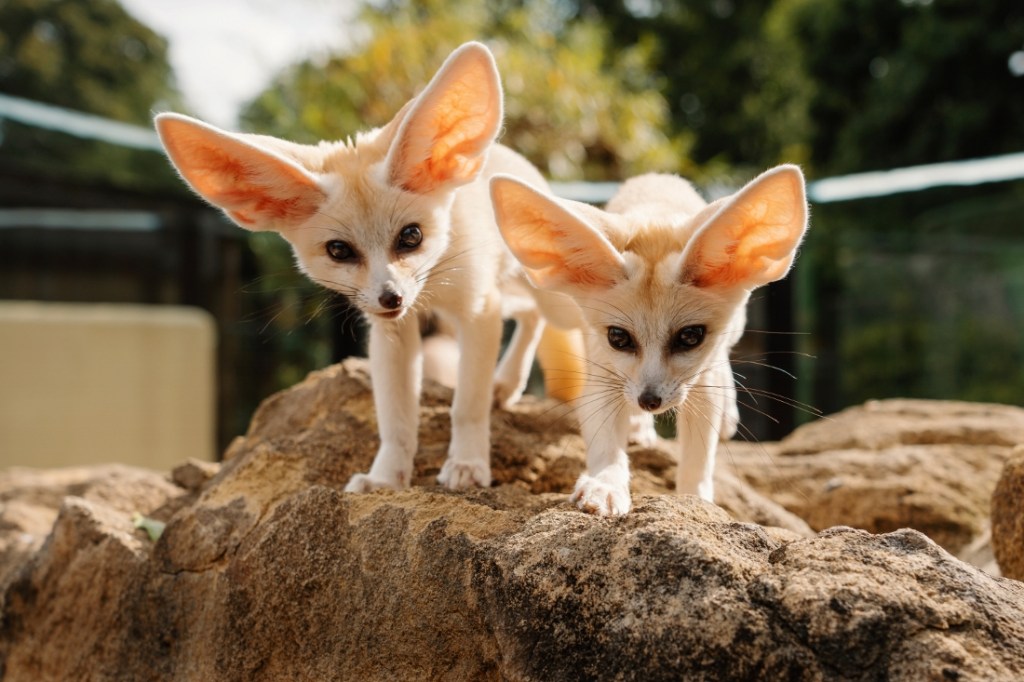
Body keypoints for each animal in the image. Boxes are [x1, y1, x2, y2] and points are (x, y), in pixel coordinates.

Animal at [154, 42, 554, 493]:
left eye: (411, 236)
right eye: (339, 250)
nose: (390, 297)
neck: (433, 286)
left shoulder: (478, 310)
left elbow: (467, 403)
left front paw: (468, 464)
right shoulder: (394, 332)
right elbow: (395, 419)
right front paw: (385, 478)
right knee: (531, 316)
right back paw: (505, 383)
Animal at [490, 166, 809, 516]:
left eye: (690, 336)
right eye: (618, 337)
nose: (649, 401)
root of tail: (656, 176)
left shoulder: (699, 381)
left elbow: (698, 457)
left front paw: (696, 500)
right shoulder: (602, 370)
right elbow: (604, 441)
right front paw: (605, 484)